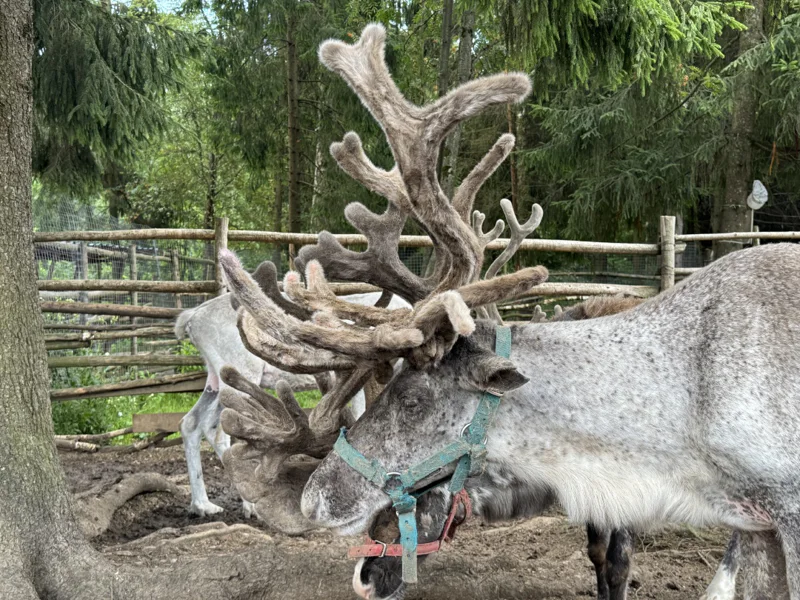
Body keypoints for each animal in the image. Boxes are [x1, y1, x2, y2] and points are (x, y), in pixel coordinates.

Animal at [174, 259, 409, 518]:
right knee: (218, 431)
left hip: (213, 378)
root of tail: (191, 319)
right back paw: (250, 505)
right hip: (241, 369)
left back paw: (202, 505)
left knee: (190, 422)